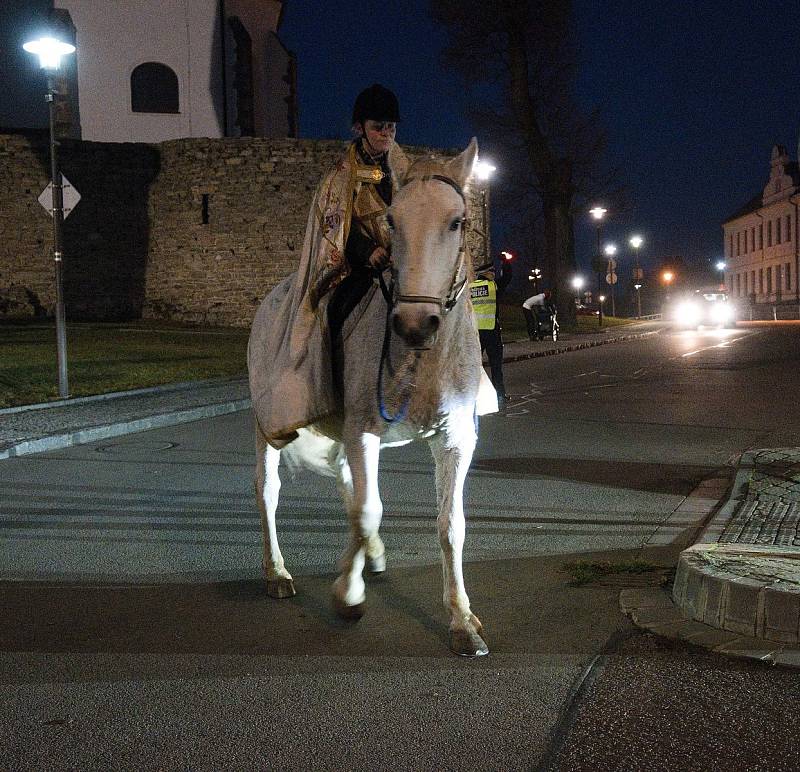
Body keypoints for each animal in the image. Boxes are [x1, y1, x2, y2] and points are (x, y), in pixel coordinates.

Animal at [250, 140, 490, 656]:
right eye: (393, 221)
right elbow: (368, 508)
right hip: (269, 426)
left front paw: (462, 620)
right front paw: (348, 595)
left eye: (457, 222)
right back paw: (277, 572)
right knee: (268, 491)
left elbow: (450, 525)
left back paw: (371, 555)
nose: (415, 325)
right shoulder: (364, 432)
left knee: (344, 482)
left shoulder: (455, 441)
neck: (422, 359)